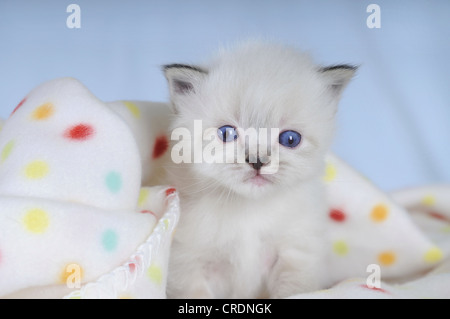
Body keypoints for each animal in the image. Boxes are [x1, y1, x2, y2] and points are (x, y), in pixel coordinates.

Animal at [163, 40, 356, 300]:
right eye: (227, 134)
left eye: (290, 139)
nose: (257, 161)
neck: (249, 212)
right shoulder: (188, 263)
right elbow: (196, 294)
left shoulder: (296, 253)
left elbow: (293, 290)